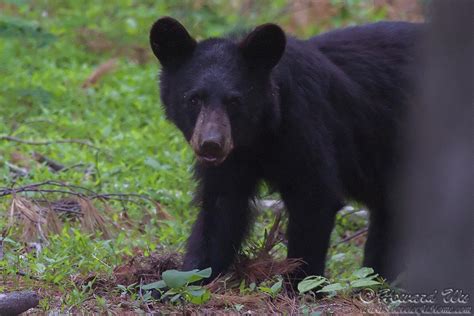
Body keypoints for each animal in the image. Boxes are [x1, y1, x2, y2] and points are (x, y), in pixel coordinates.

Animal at [149, 17, 422, 282]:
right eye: (194, 99)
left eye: (235, 101)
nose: (211, 144)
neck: (259, 135)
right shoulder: (232, 162)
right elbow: (220, 212)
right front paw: (181, 280)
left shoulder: (307, 126)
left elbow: (314, 197)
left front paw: (299, 283)